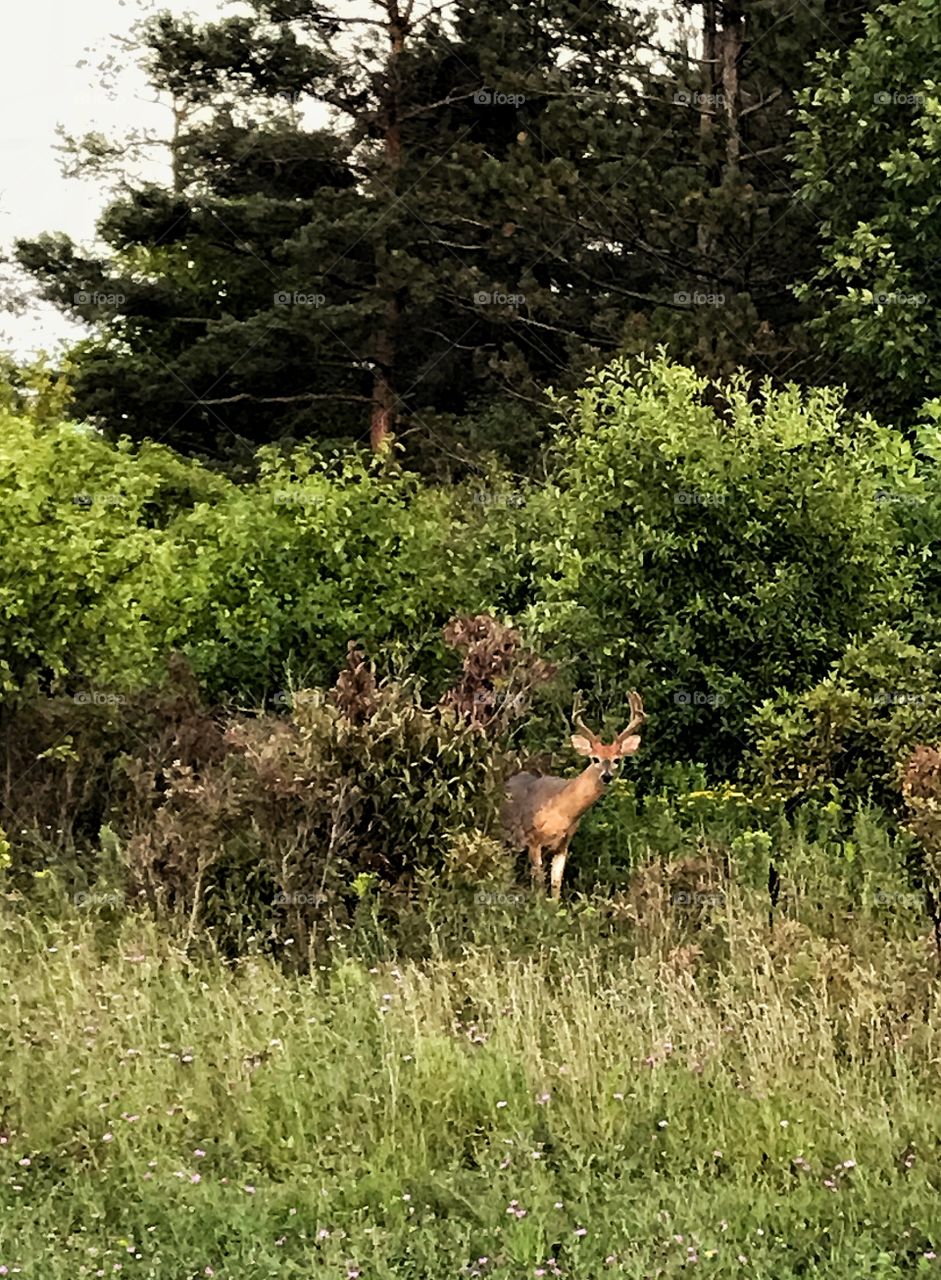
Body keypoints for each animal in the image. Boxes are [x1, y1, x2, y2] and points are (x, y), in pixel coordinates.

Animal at [502, 692, 646, 900]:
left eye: (617, 760)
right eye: (595, 759)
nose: (607, 776)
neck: (561, 813)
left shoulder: (563, 845)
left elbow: (556, 885)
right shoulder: (533, 840)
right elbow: (539, 883)